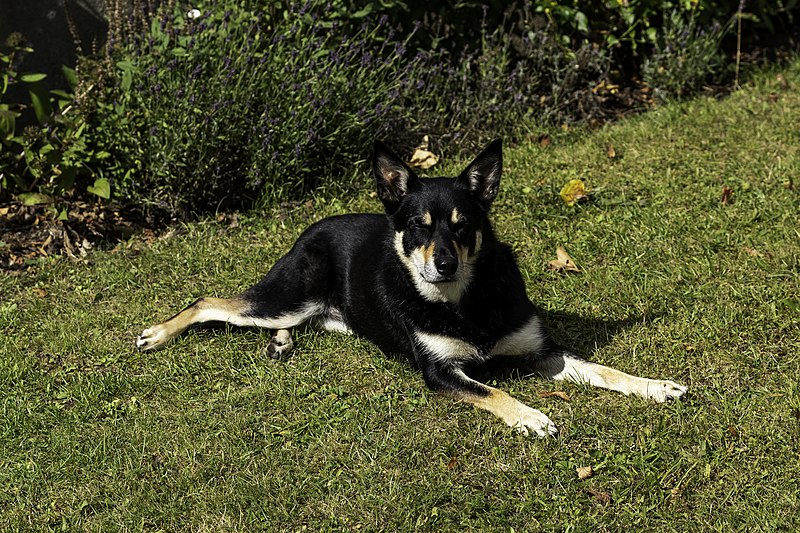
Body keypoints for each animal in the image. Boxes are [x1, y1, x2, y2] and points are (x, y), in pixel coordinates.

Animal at [139, 138, 688, 436]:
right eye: (418, 227)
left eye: (464, 226)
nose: (443, 265)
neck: (465, 300)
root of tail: (310, 228)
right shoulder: (439, 372)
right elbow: (493, 389)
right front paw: (531, 416)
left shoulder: (541, 351)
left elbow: (603, 369)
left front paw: (654, 386)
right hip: (287, 296)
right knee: (209, 301)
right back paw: (157, 334)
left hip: (325, 315)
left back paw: (281, 343)